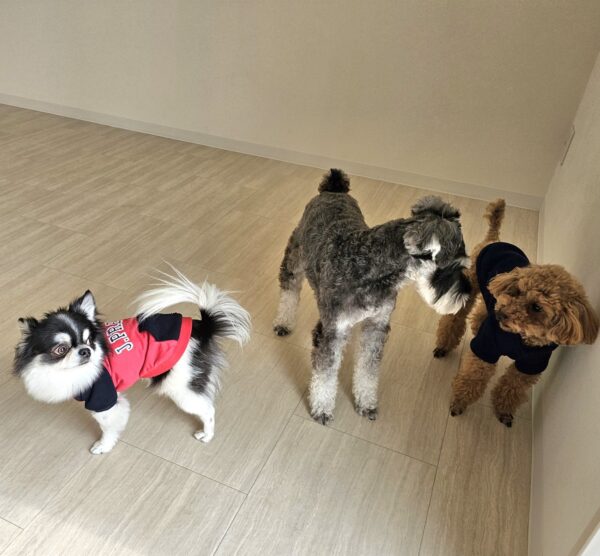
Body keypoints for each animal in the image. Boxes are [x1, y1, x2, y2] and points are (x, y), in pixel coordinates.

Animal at [13, 268, 250, 454]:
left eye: (89, 341)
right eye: (60, 349)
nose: (85, 351)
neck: (61, 371)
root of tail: (202, 326)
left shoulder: (103, 399)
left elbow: (108, 427)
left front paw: (103, 446)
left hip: (181, 388)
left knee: (208, 410)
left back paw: (206, 435)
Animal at [273, 169, 471, 424]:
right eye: (451, 269)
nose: (467, 296)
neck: (370, 266)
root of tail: (333, 189)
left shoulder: (376, 327)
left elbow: (368, 370)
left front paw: (366, 403)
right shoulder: (332, 331)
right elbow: (325, 375)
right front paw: (322, 408)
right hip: (295, 258)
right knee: (289, 289)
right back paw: (283, 322)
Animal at [434, 199, 599, 427]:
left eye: (537, 307)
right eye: (517, 291)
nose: (501, 315)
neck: (521, 339)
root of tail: (494, 239)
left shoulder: (530, 366)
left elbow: (512, 388)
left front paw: (504, 411)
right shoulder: (486, 349)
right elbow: (472, 378)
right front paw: (459, 402)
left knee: (480, 314)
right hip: (471, 286)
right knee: (455, 317)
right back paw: (443, 345)